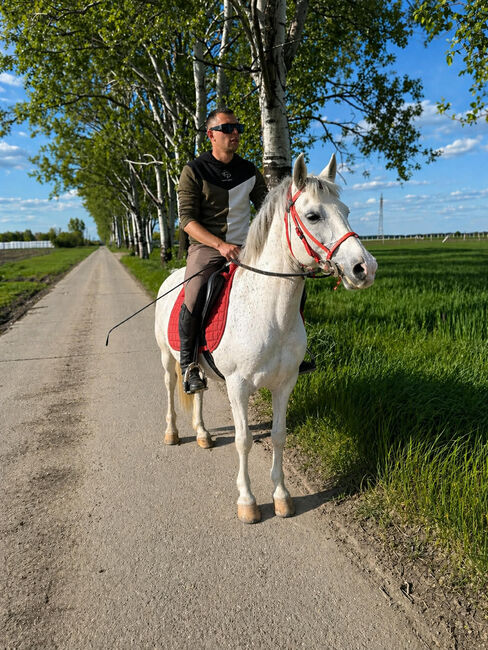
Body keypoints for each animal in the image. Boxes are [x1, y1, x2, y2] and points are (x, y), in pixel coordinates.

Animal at [154, 153, 377, 524]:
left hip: (200, 366)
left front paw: (282, 497)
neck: (270, 313)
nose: (365, 268)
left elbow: (279, 435)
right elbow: (244, 440)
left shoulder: (284, 383)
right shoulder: (238, 386)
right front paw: (247, 502)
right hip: (167, 357)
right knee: (172, 386)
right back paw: (172, 434)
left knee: (197, 389)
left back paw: (202, 434)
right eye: (313, 216)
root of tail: (171, 276)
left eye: (345, 210)